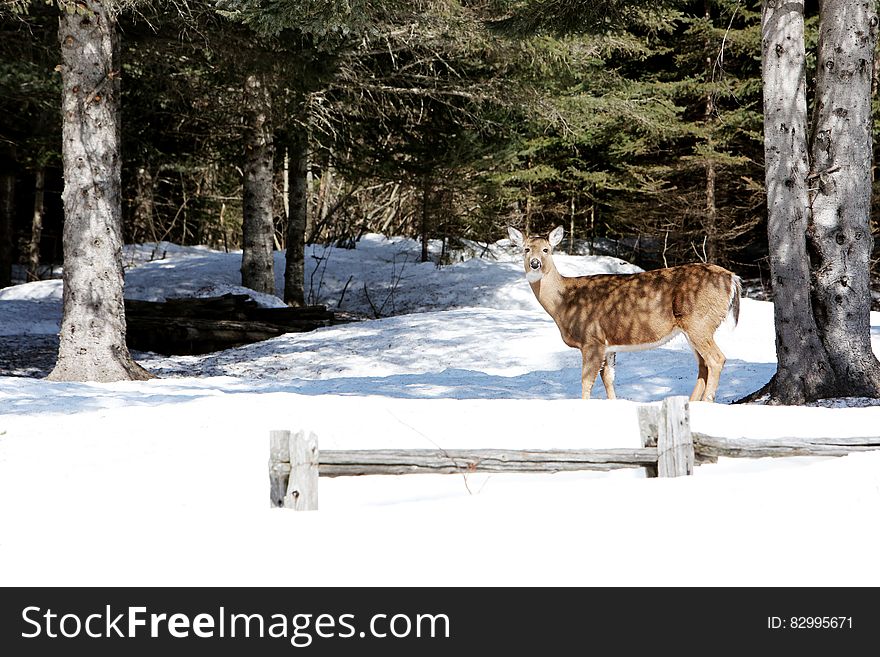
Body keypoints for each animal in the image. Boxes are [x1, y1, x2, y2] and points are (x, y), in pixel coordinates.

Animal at [506, 224, 740, 400]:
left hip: (700, 321)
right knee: (702, 365)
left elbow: (586, 382)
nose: (535, 263)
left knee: (716, 359)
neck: (564, 301)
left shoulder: (591, 339)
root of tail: (732, 278)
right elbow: (609, 380)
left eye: (546, 249)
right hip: (693, 327)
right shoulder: (608, 346)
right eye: (526, 249)